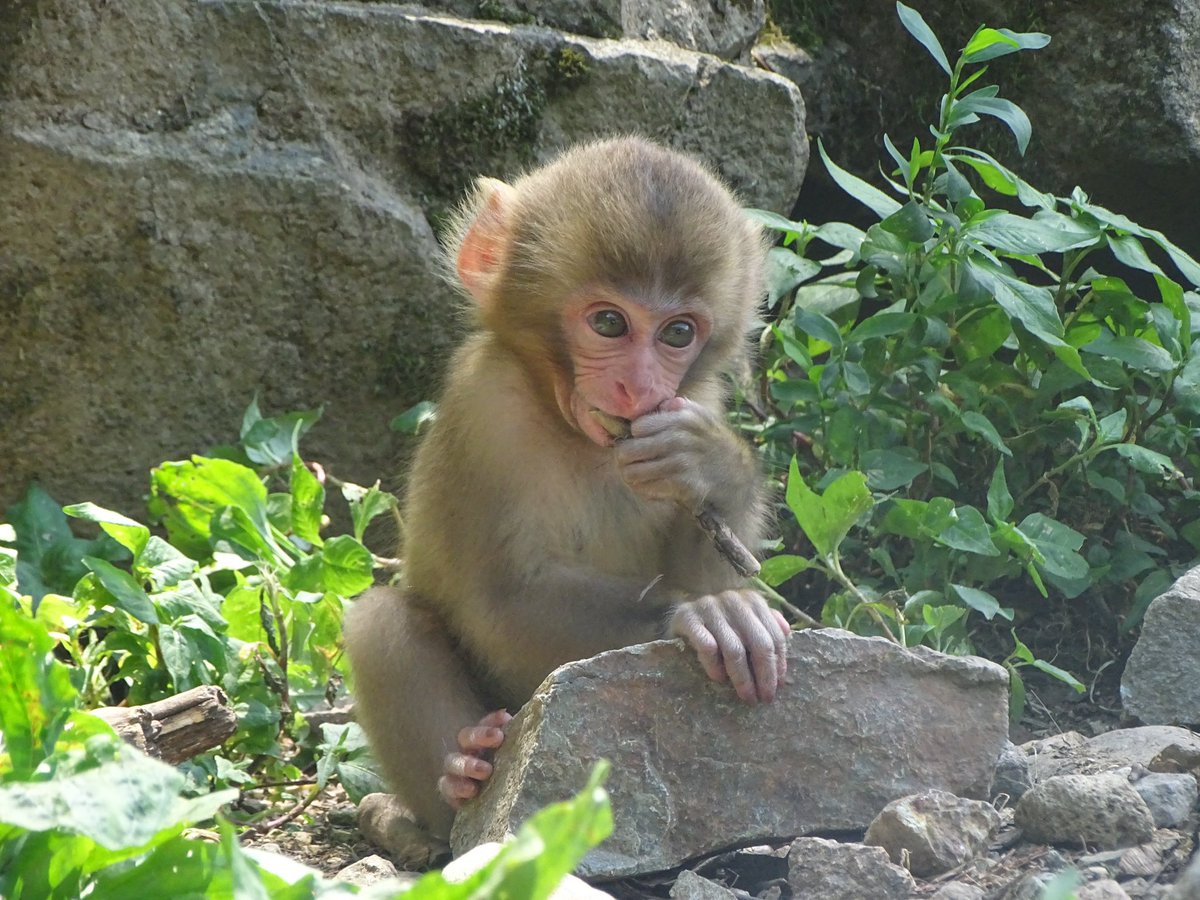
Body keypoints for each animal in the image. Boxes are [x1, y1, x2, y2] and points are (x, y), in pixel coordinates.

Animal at [344, 136, 791, 841]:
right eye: (609, 323)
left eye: (678, 333)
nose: (639, 387)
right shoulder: (486, 411)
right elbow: (500, 603)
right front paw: (697, 612)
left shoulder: (697, 399)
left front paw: (710, 465)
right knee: (379, 623)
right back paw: (462, 774)